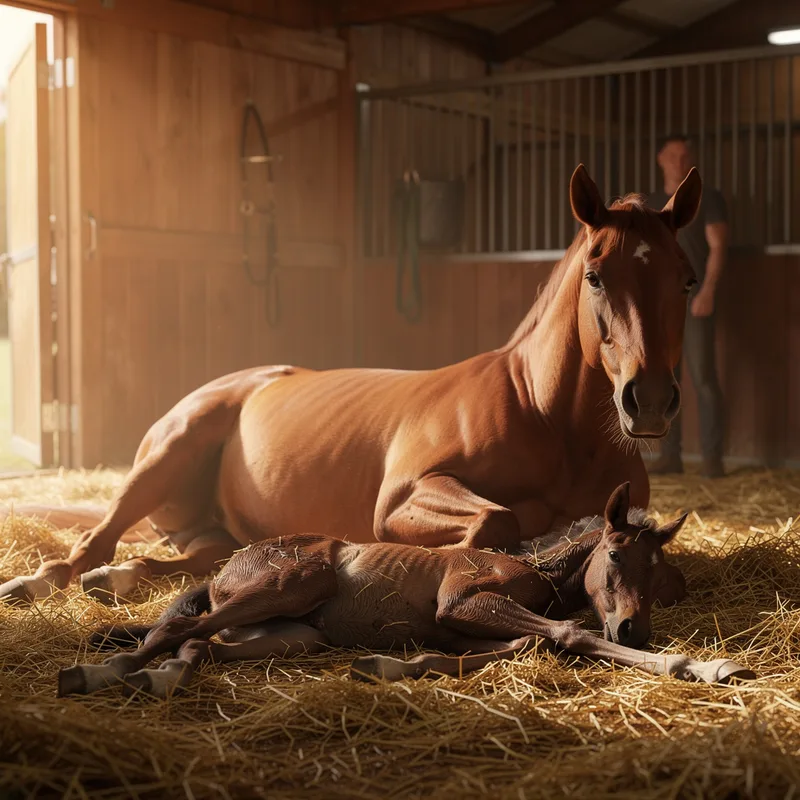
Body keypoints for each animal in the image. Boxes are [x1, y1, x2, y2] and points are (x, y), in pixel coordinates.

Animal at [0, 163, 703, 605]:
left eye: (687, 278)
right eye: (595, 275)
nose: (650, 400)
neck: (548, 421)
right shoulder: (402, 497)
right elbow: (496, 521)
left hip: (218, 529)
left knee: (193, 557)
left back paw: (121, 578)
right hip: (163, 458)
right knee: (91, 541)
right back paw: (42, 582)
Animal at [57, 482, 754, 699]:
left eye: (659, 576)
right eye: (614, 555)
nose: (636, 628)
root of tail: (227, 567)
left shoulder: (460, 621)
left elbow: (516, 648)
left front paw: (391, 664)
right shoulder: (462, 601)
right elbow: (567, 633)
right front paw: (703, 664)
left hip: (293, 637)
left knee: (201, 645)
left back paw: (156, 677)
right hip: (290, 584)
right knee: (176, 628)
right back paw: (98, 673)